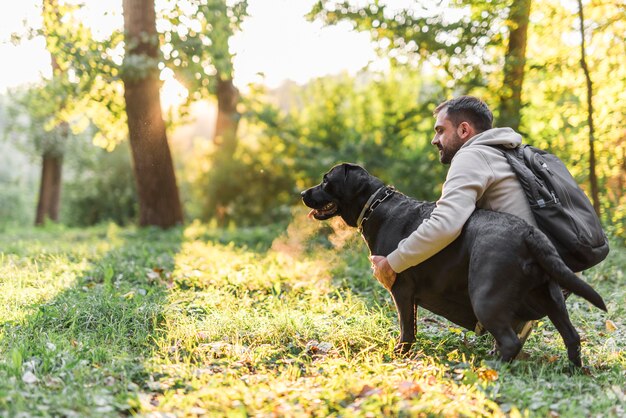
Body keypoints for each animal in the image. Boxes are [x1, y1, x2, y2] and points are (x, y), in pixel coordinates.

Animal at [302, 163, 604, 366]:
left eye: (326, 181)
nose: (303, 192)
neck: (376, 206)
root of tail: (528, 232)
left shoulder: (401, 290)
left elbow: (405, 328)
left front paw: (399, 353)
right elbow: (412, 326)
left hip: (485, 296)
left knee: (511, 341)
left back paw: (494, 367)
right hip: (552, 296)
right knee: (572, 337)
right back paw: (573, 371)